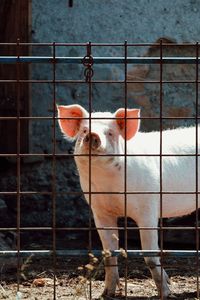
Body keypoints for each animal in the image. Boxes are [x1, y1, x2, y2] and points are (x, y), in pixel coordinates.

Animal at [57, 103, 199, 298]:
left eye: (110, 133)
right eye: (84, 130)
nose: (92, 134)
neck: (110, 185)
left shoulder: (148, 208)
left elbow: (150, 256)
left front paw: (166, 294)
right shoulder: (100, 212)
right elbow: (109, 253)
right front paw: (106, 294)